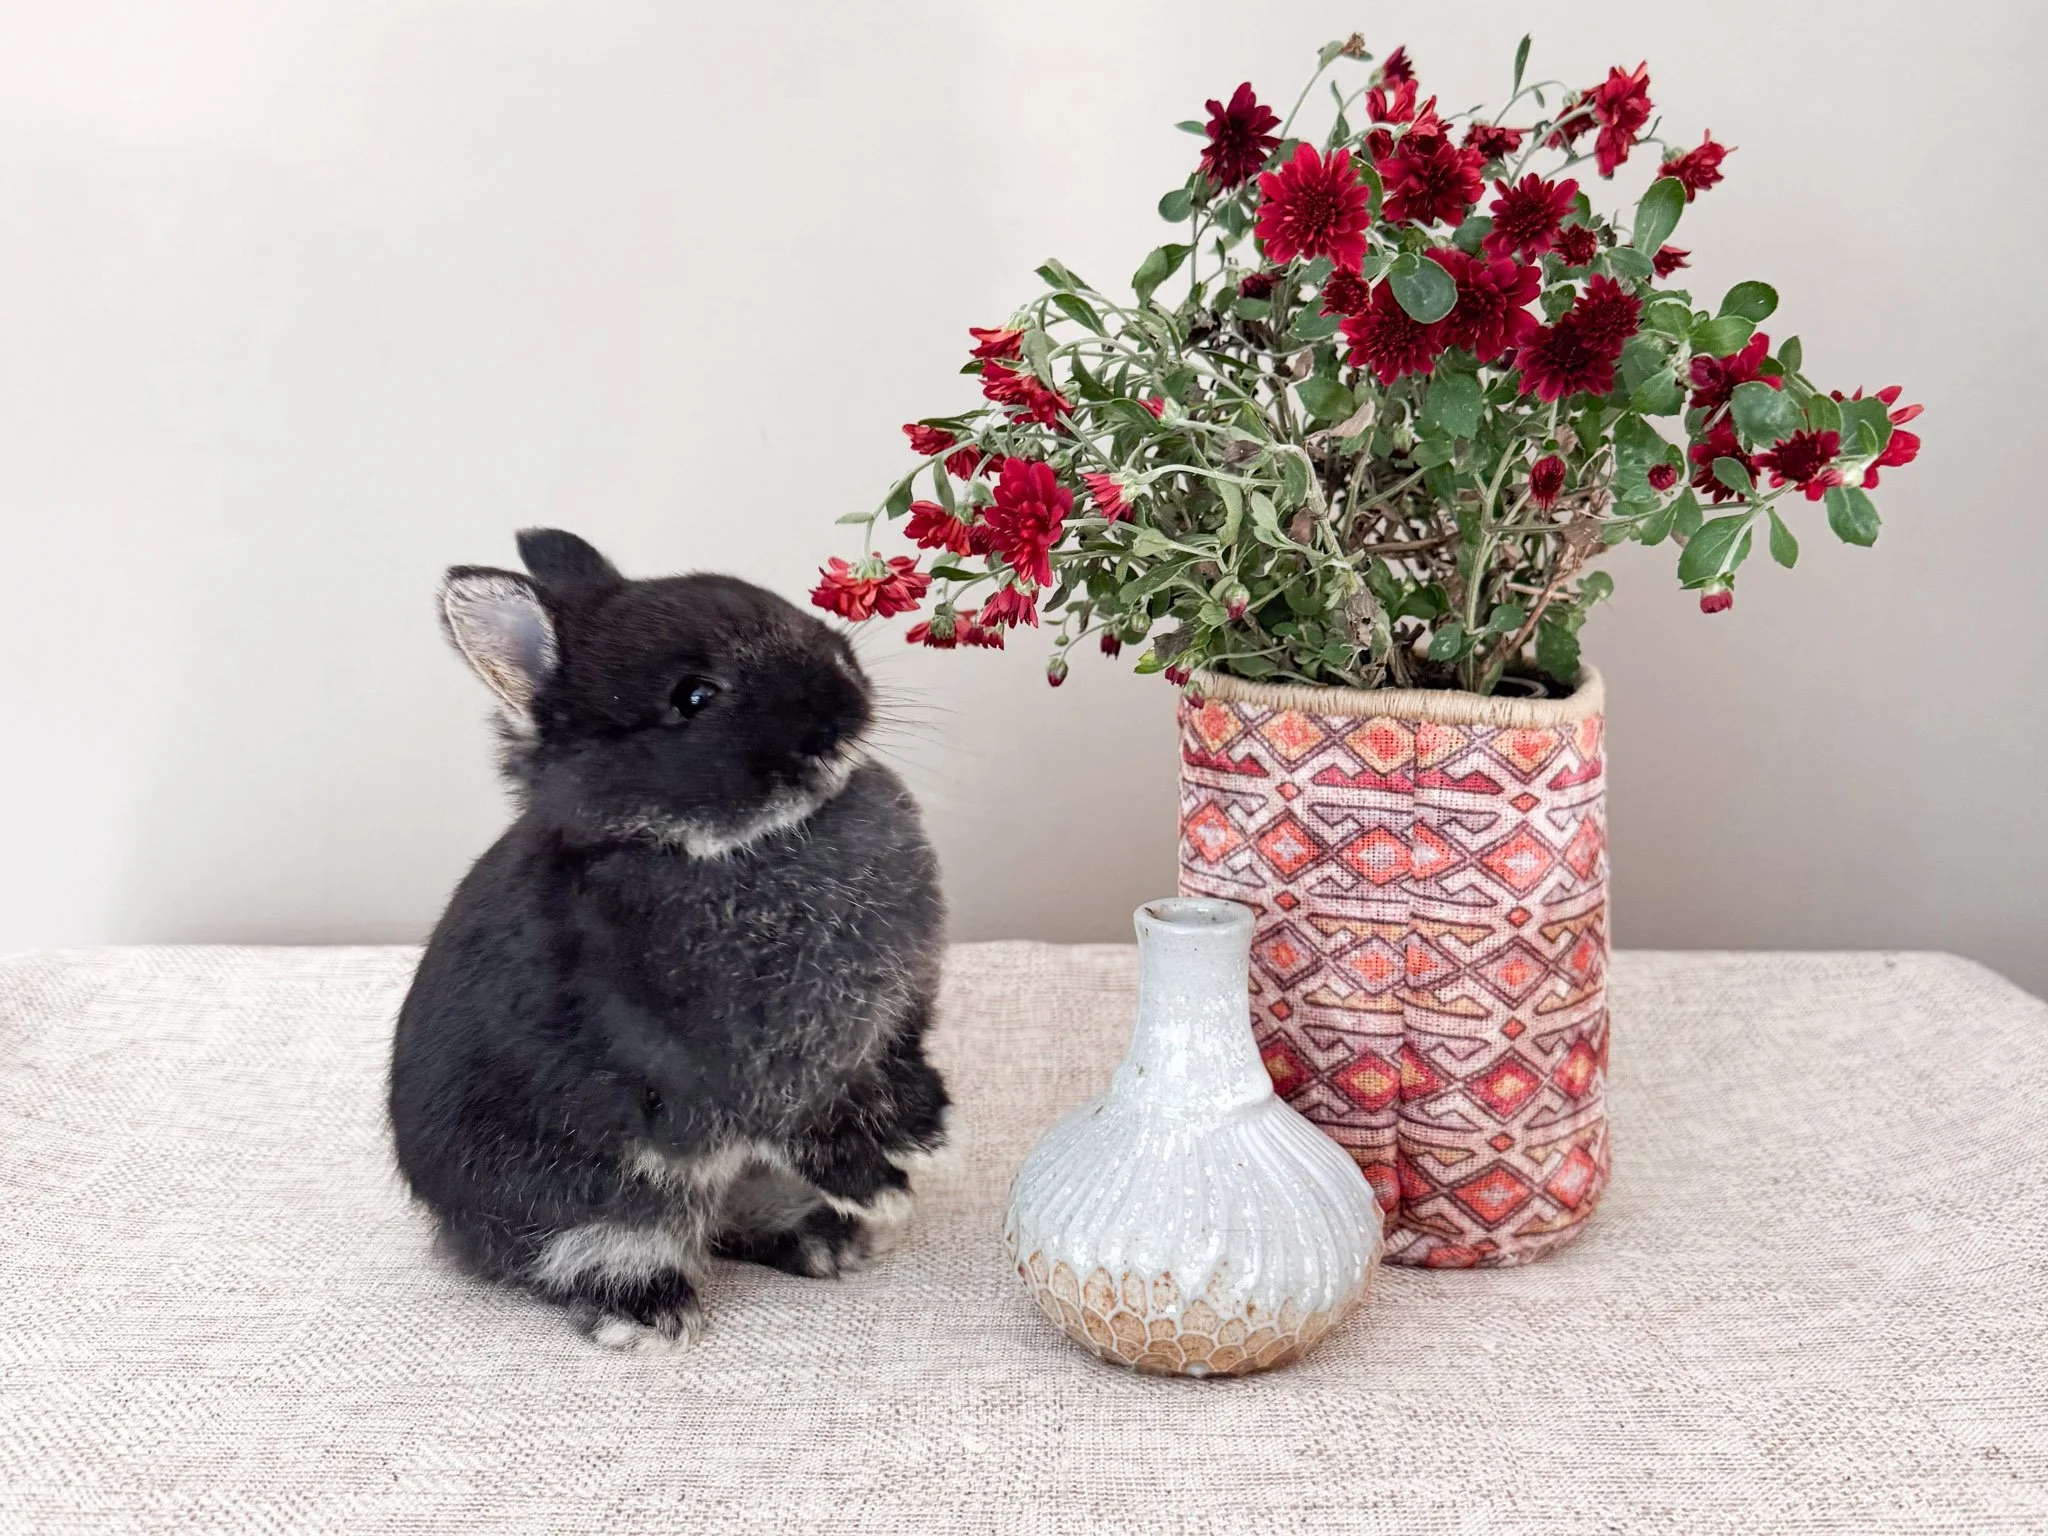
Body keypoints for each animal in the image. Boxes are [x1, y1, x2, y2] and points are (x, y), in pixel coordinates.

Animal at [388, 528, 949, 1351]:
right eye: (694, 698)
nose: (844, 697)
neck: (718, 849)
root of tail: (452, 1227)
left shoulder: (888, 1028)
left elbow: (892, 1075)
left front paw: (929, 1130)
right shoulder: (745, 1072)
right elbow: (806, 1127)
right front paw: (883, 1189)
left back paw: (825, 1242)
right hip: (594, 1198)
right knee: (593, 1249)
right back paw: (652, 1314)